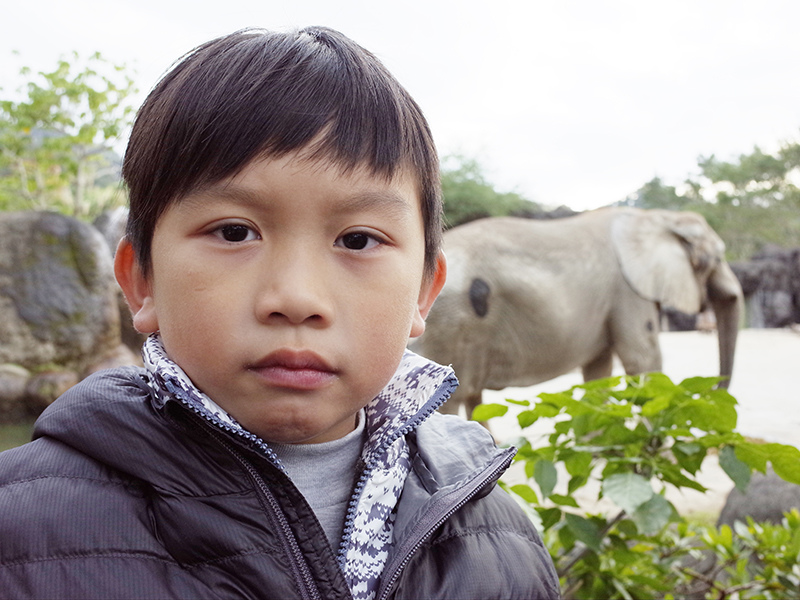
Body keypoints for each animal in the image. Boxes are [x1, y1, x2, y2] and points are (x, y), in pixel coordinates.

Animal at [412, 206, 744, 422]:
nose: (714, 393)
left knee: (473, 397)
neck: (657, 216)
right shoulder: (628, 290)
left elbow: (598, 371)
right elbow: (643, 361)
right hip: (451, 323)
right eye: (717, 258)